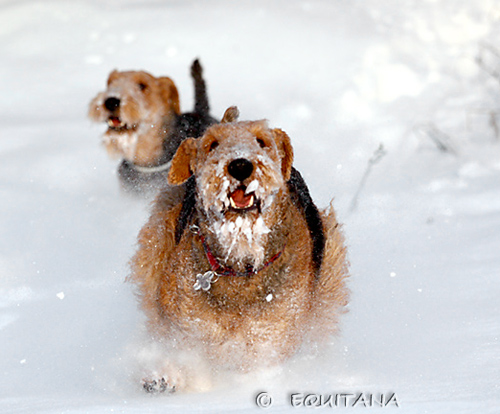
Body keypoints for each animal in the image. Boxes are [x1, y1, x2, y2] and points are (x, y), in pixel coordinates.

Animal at [127, 106, 350, 392]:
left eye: (262, 141)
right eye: (212, 144)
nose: (240, 165)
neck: (240, 267)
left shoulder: (270, 334)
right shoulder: (188, 326)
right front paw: (166, 376)